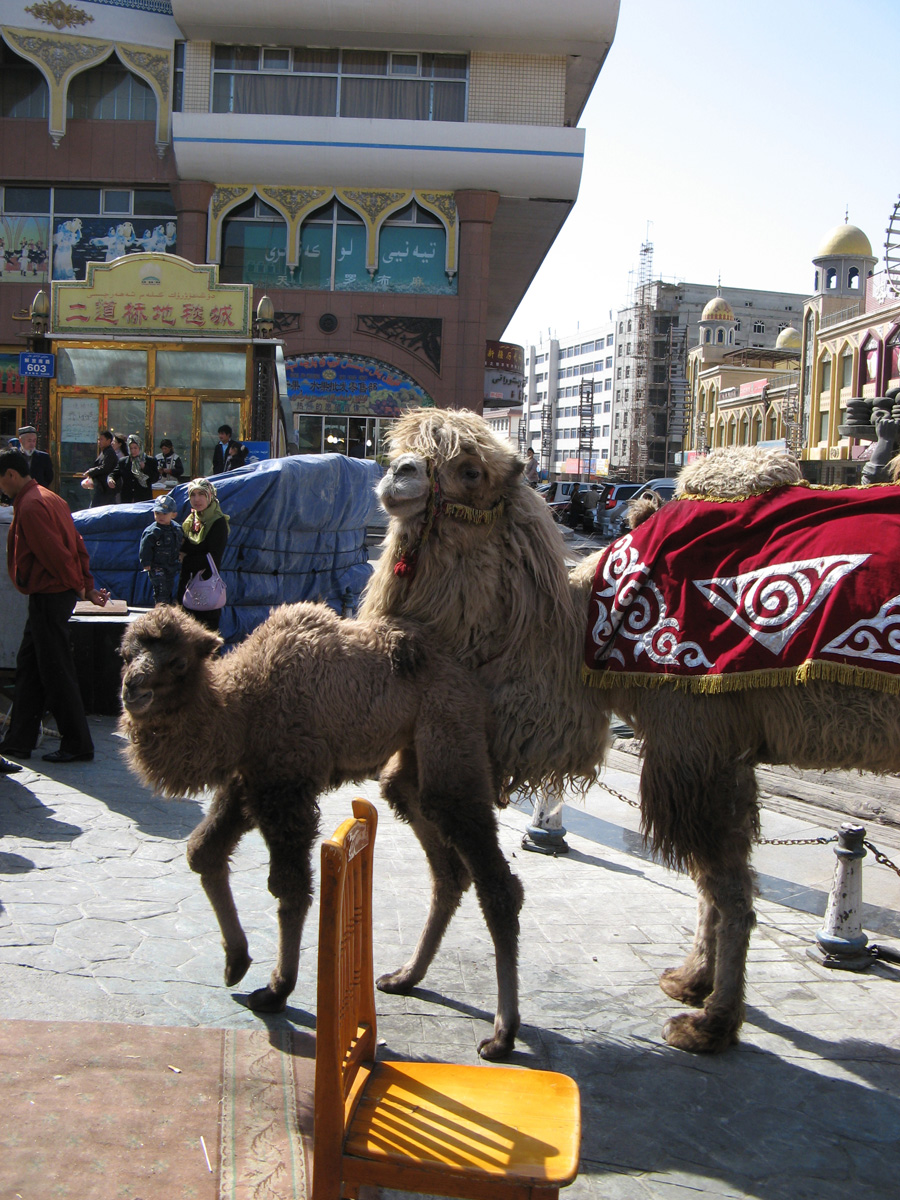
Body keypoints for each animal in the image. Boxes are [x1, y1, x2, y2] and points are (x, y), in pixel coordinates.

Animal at [119, 603, 523, 1058]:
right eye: (125, 655)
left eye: (178, 662)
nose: (133, 690)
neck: (243, 704)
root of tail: (472, 679)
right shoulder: (251, 779)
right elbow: (202, 852)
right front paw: (236, 961)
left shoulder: (285, 783)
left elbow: (289, 887)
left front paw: (277, 989)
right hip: (414, 759)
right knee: (446, 867)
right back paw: (404, 976)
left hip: (451, 734)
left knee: (495, 882)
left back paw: (502, 1034)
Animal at [361, 408, 900, 1054]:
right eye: (404, 450)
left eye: (469, 469)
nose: (398, 474)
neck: (583, 631)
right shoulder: (721, 750)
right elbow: (717, 880)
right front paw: (691, 982)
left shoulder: (694, 737)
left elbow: (729, 888)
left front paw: (711, 1023)